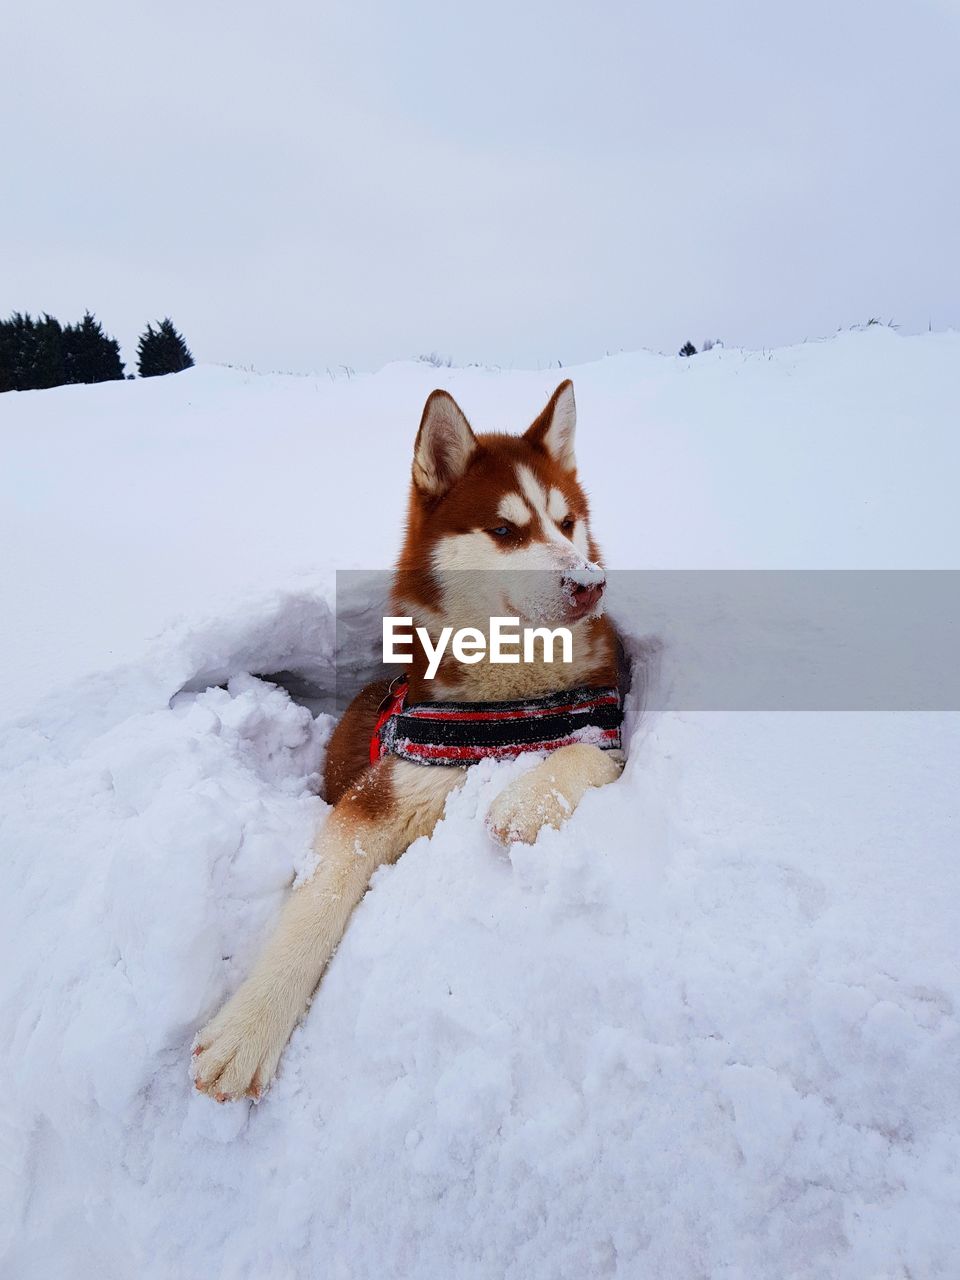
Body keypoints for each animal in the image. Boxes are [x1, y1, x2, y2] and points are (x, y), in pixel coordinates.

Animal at [193, 378, 627, 1100]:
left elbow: (585, 751)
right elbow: (315, 904)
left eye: (566, 522)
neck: (508, 691)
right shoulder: (378, 798)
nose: (590, 584)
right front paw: (248, 1028)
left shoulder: (609, 725)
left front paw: (525, 800)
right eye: (505, 530)